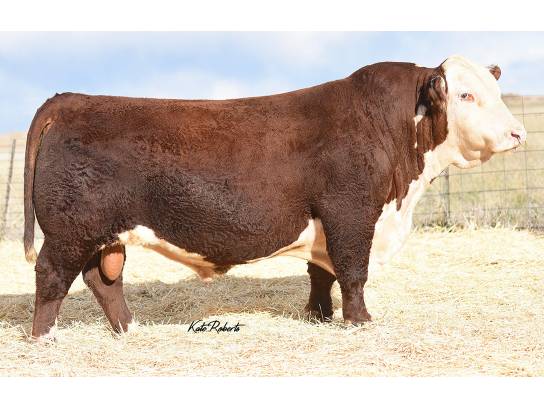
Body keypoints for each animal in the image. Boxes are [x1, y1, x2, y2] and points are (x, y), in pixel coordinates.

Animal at [23, 55, 526, 340]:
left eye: (496, 90)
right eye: (465, 95)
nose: (517, 133)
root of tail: (72, 99)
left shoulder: (327, 222)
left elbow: (322, 273)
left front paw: (319, 316)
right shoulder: (351, 213)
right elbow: (353, 271)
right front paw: (359, 321)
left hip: (100, 234)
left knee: (103, 281)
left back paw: (129, 329)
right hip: (69, 231)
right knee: (52, 276)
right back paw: (43, 339)